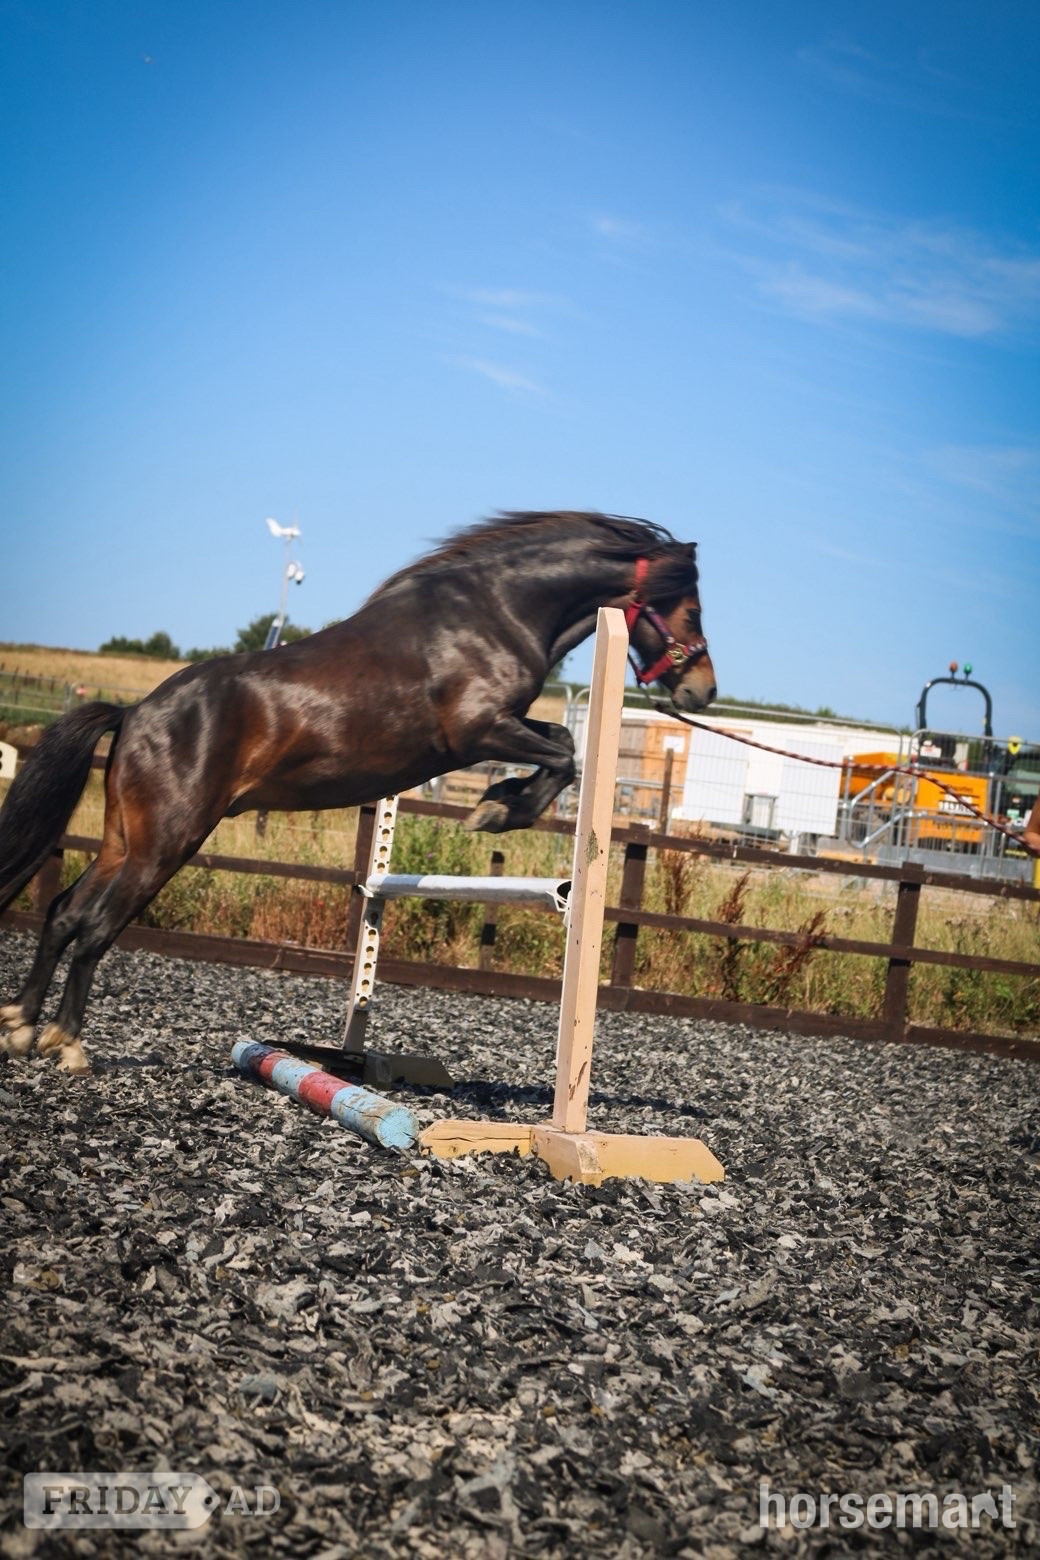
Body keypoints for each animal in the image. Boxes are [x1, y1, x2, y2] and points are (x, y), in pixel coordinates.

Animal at [0, 510, 715, 1072]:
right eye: (693, 608)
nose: (701, 691)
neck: (497, 610)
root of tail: (134, 713)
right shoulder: (478, 730)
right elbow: (564, 753)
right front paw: (498, 809)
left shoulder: (498, 729)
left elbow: (559, 744)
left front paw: (497, 803)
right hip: (165, 844)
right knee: (96, 925)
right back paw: (67, 1042)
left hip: (124, 841)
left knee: (63, 912)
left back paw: (22, 1026)